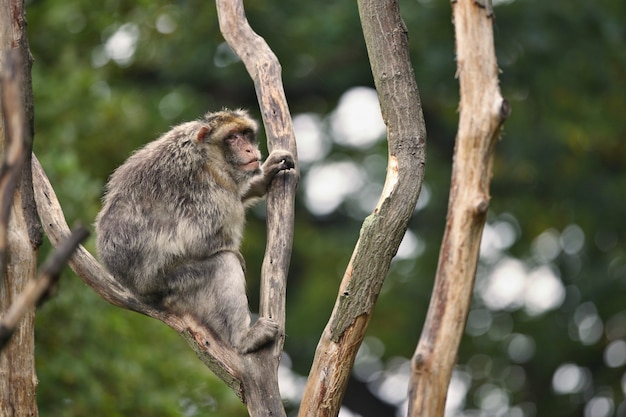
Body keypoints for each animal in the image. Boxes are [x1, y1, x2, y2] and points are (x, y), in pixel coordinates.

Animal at [95, 109, 294, 352]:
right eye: (232, 138)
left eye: (246, 135)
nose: (249, 150)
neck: (206, 154)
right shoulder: (205, 188)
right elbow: (199, 241)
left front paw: (265, 176)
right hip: (173, 285)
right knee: (222, 262)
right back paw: (243, 338)